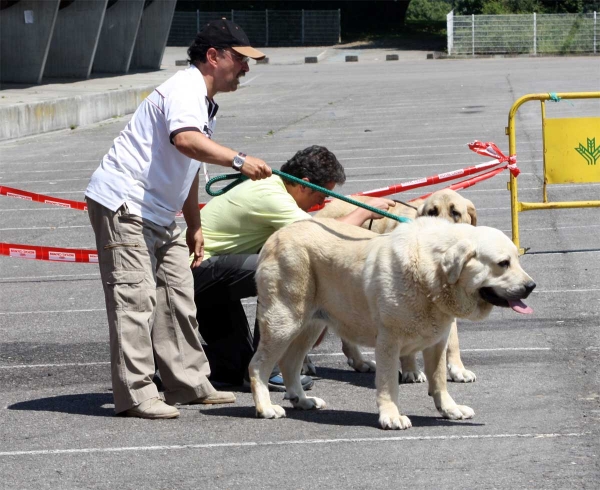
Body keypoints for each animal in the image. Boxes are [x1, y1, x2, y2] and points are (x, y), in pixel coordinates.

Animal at [248, 217, 536, 428]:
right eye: (503, 263)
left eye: (517, 259)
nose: (531, 286)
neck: (431, 275)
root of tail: (275, 237)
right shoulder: (389, 342)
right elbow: (388, 383)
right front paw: (391, 416)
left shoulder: (437, 341)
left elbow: (439, 379)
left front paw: (449, 409)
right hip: (284, 322)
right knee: (258, 365)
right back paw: (265, 407)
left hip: (310, 325)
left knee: (289, 362)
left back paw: (302, 400)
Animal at [314, 188, 478, 382]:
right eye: (432, 212)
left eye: (455, 213)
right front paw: (411, 370)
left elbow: (453, 341)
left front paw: (458, 370)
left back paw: (360, 362)